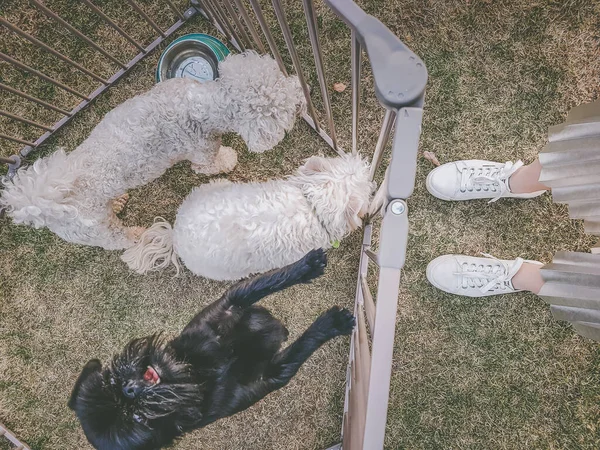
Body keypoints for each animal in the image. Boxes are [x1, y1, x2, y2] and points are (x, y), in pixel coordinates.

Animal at [1, 51, 304, 253]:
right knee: (118, 239)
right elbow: (212, 164)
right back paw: (136, 234)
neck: (200, 108)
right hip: (97, 231)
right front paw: (229, 159)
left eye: (278, 77)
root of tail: (42, 206)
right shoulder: (202, 155)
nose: (303, 92)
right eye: (284, 108)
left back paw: (118, 202)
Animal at [68, 250, 354, 450]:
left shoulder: (230, 303)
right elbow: (305, 344)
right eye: (137, 419)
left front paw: (308, 266)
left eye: (111, 382)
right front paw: (332, 324)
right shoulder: (273, 374)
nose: (129, 389)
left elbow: (270, 281)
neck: (196, 370)